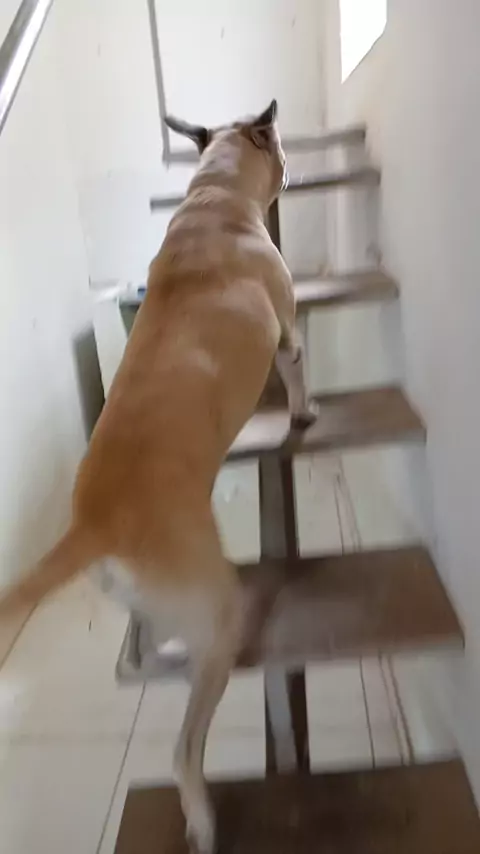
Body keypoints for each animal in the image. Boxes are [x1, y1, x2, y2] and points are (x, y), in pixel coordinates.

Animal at [0, 100, 314, 854]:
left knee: (141, 653)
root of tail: (93, 523)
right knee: (183, 749)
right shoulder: (287, 335)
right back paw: (201, 814)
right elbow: (296, 373)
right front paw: (304, 411)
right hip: (217, 610)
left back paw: (162, 657)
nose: (292, 167)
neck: (218, 197)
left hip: (150, 604)